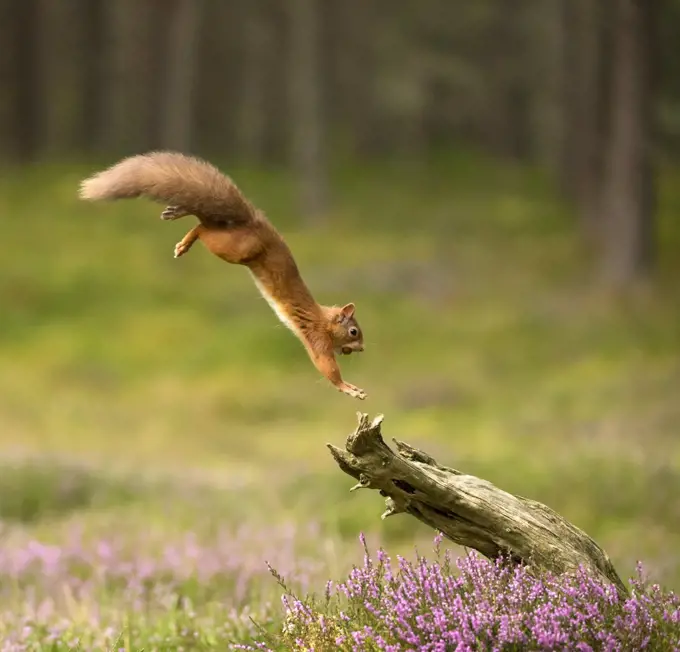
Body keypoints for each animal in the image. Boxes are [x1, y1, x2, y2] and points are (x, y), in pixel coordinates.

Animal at [77, 151, 366, 400]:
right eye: (353, 332)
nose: (362, 349)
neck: (324, 320)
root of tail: (253, 221)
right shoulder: (317, 338)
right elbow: (326, 367)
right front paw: (349, 388)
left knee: (206, 220)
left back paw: (179, 216)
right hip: (234, 248)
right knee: (204, 227)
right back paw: (185, 229)